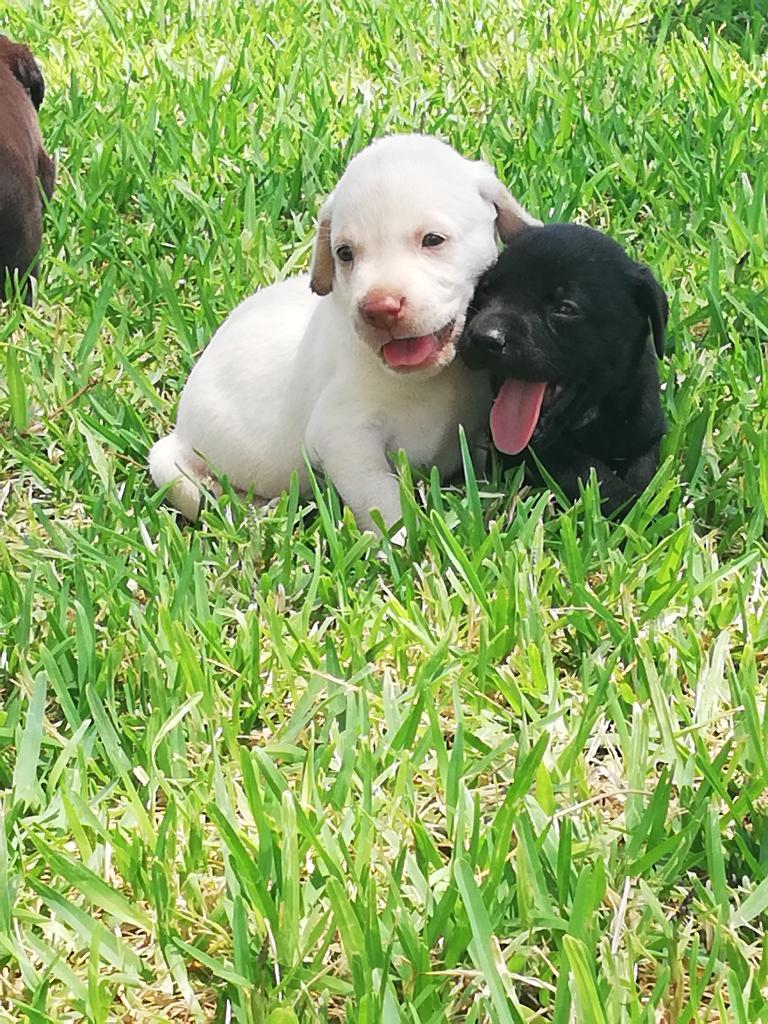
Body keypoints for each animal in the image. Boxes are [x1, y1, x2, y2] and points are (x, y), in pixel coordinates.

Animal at [147, 133, 536, 532]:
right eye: (345, 253)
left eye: (433, 240)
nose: (379, 309)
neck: (430, 380)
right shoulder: (343, 437)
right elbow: (381, 496)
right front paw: (402, 541)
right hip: (169, 466)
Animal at [460, 223, 671, 512]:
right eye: (485, 291)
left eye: (566, 309)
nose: (483, 338)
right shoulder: (534, 453)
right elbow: (590, 474)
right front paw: (631, 506)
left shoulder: (647, 433)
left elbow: (643, 473)